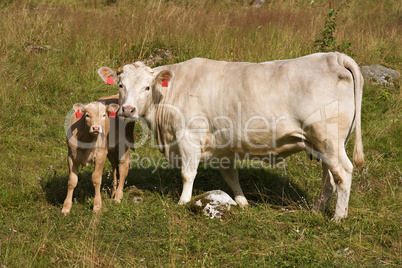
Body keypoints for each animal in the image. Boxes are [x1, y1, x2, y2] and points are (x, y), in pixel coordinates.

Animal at [97, 51, 364, 220]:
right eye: (120, 85)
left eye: (146, 87)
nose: (128, 110)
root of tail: (334, 56)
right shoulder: (223, 145)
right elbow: (230, 176)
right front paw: (243, 202)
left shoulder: (188, 138)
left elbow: (187, 174)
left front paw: (183, 202)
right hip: (321, 144)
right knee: (329, 179)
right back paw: (317, 210)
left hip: (328, 139)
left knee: (343, 173)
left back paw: (338, 217)